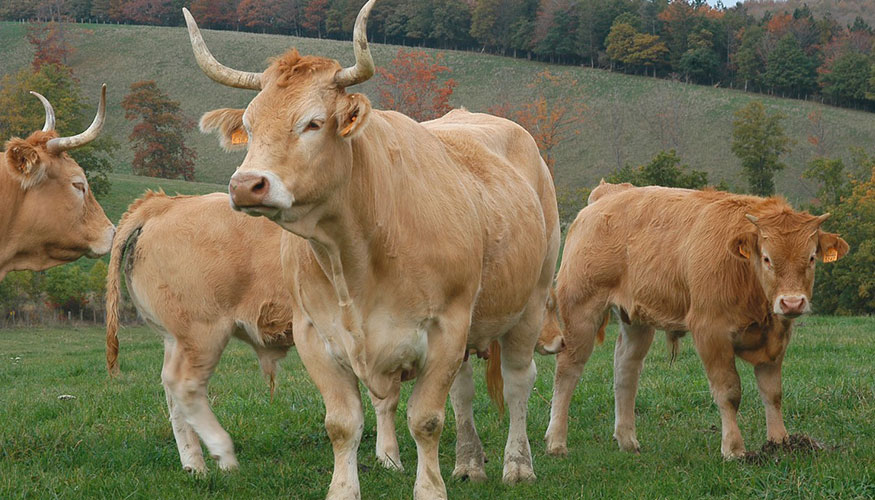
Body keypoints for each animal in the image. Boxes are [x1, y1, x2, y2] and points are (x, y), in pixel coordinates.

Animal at [184, 0, 560, 496]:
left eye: (313, 123)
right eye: (248, 124)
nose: (247, 184)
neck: (354, 257)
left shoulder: (447, 325)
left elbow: (426, 419)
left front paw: (430, 488)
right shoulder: (314, 333)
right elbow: (343, 423)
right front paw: (346, 487)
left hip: (531, 301)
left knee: (518, 382)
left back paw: (517, 465)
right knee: (463, 391)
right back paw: (467, 462)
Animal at [544, 182, 852, 458]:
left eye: (811, 258)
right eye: (767, 258)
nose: (792, 302)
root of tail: (608, 194)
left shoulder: (777, 337)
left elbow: (772, 392)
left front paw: (780, 442)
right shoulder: (711, 332)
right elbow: (729, 391)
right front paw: (734, 448)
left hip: (636, 321)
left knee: (625, 369)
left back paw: (627, 440)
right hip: (581, 311)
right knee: (568, 370)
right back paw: (556, 442)